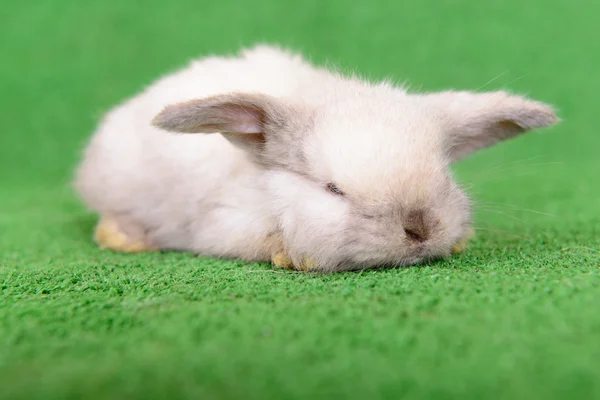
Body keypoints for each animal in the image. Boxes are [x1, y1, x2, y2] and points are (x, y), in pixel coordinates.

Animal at [74, 45, 556, 274]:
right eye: (333, 189)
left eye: (444, 175)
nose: (420, 230)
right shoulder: (221, 223)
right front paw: (292, 255)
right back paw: (125, 238)